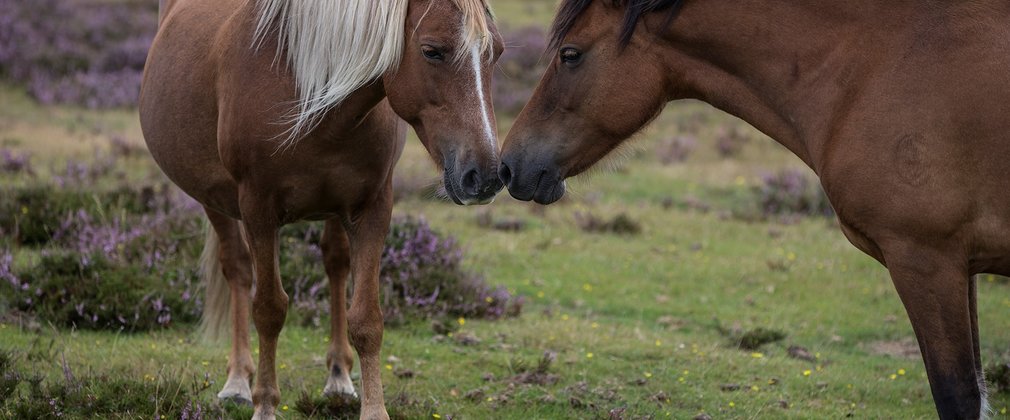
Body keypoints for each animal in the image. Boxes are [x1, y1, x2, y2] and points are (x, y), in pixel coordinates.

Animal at [140, 0, 502, 420]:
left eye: (497, 52)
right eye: (432, 50)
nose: (486, 176)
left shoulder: (373, 207)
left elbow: (366, 318)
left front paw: (373, 409)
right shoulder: (258, 209)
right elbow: (269, 309)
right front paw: (265, 404)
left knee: (335, 263)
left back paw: (338, 377)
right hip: (214, 197)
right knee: (237, 269)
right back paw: (237, 382)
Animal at [500, 0, 1010, 420]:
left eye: (570, 54)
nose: (508, 164)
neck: (872, 67)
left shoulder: (925, 259)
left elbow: (958, 396)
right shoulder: (957, 267)